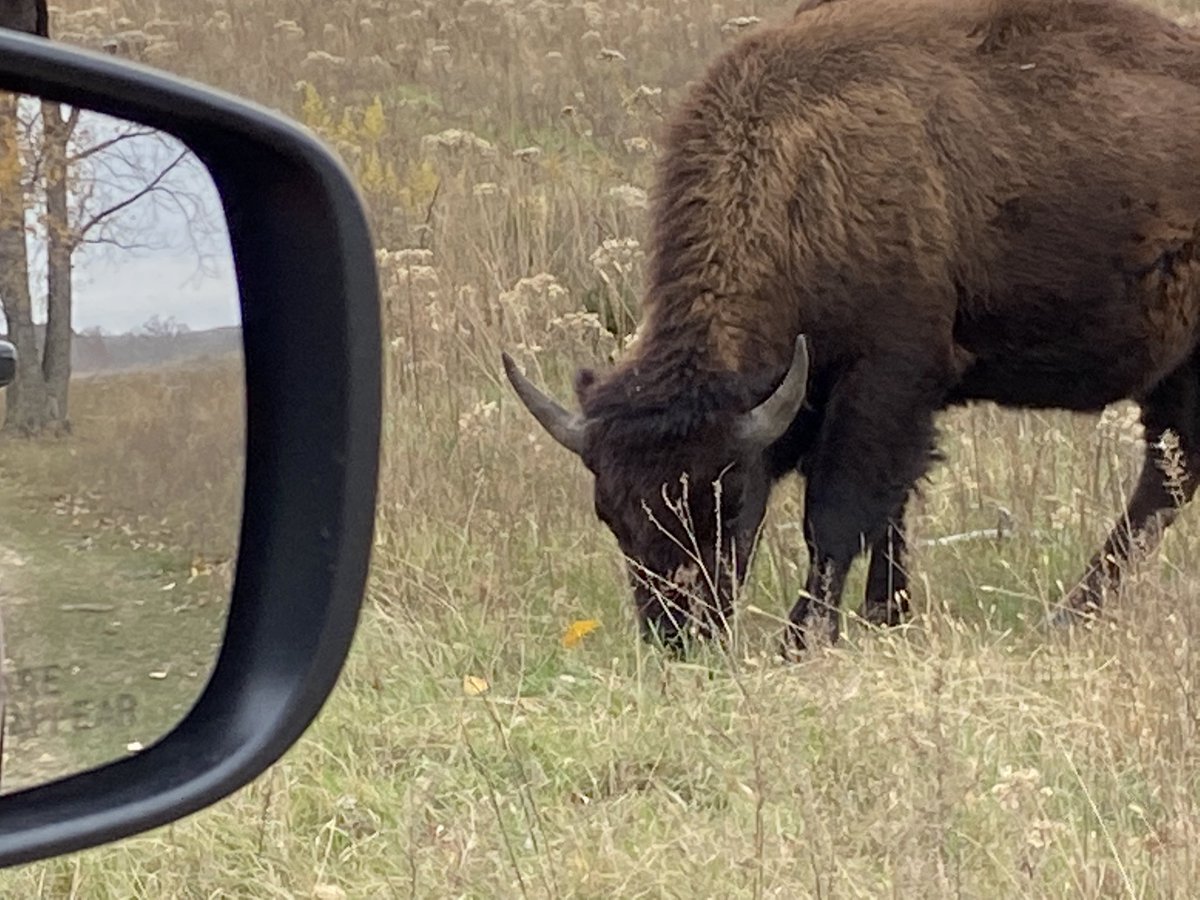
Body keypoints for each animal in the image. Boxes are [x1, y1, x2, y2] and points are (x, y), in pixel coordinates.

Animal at [504, 0, 1200, 655]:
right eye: (609, 512)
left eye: (728, 499)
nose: (679, 634)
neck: (800, 170)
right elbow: (891, 510)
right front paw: (887, 616)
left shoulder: (885, 378)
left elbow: (838, 513)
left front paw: (804, 638)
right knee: (1168, 479)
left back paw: (1064, 616)